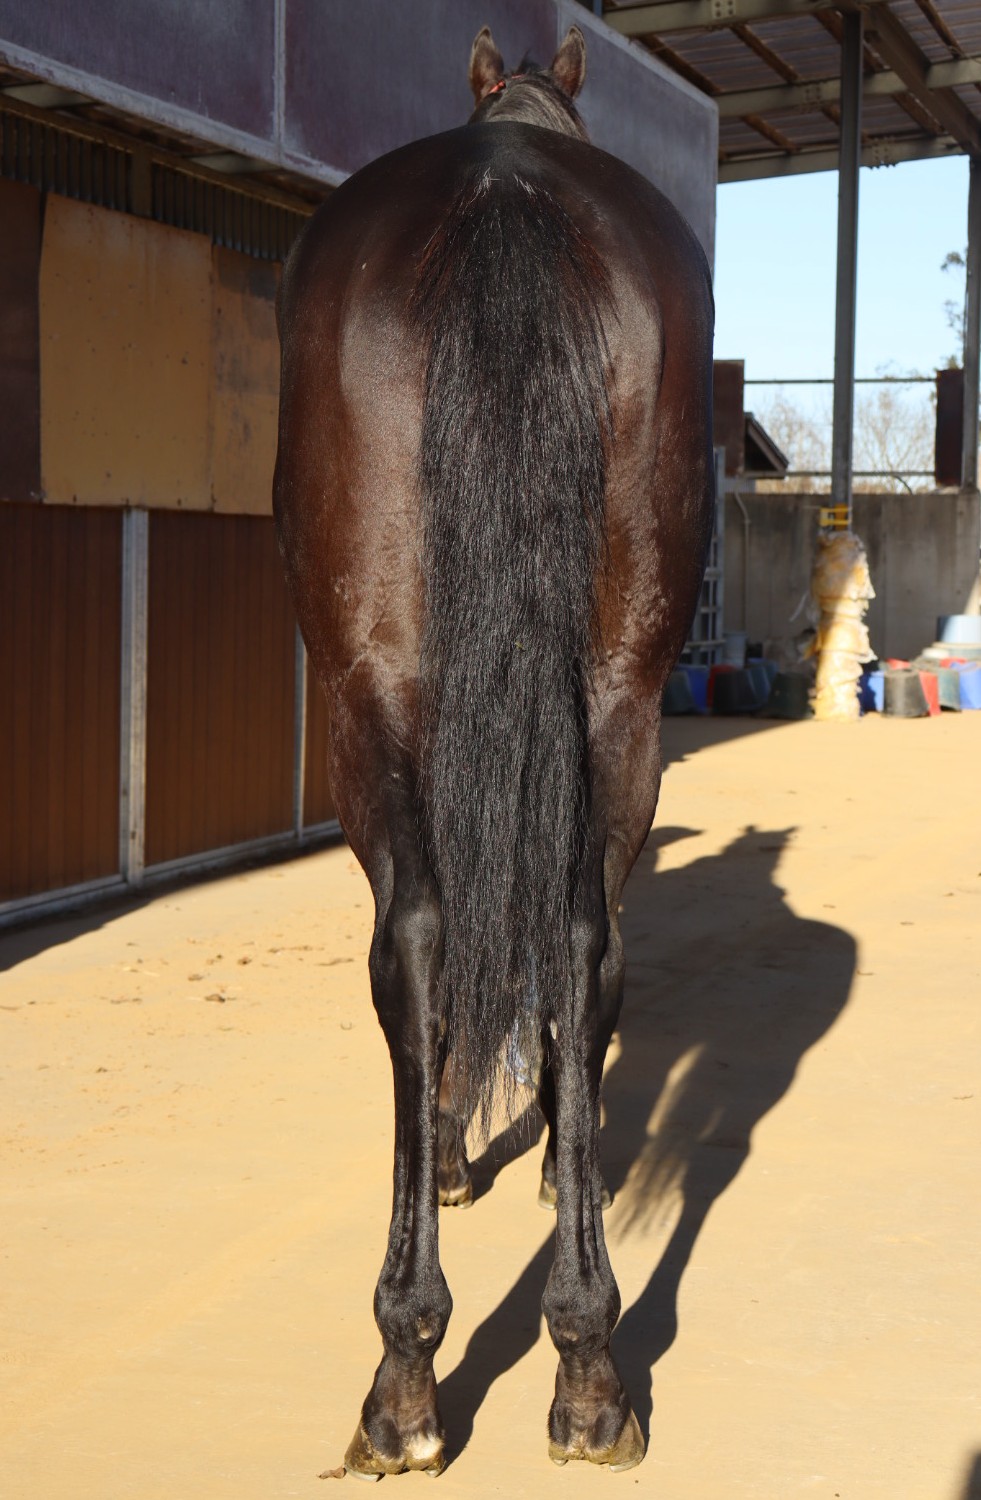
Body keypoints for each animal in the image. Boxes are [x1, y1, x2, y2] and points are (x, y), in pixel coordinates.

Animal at [273, 24, 714, 1477]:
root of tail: (506, 194)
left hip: (385, 702)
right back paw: (574, 1358)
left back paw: (423, 1372)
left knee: (429, 940)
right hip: (612, 698)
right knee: (562, 941)